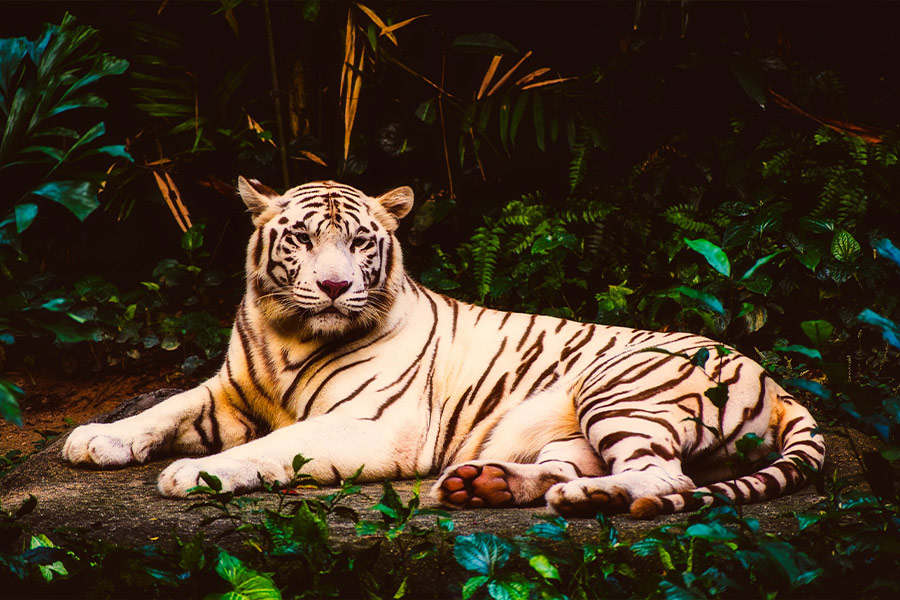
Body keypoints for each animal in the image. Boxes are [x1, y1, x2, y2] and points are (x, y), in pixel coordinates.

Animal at [62, 177, 825, 519]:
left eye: (360, 243)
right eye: (303, 239)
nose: (335, 286)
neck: (289, 334)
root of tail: (778, 383)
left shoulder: (374, 425)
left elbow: (273, 446)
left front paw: (195, 474)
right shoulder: (229, 389)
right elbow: (165, 407)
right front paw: (96, 438)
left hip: (621, 388)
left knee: (668, 478)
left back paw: (591, 497)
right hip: (571, 428)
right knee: (573, 466)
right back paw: (484, 483)